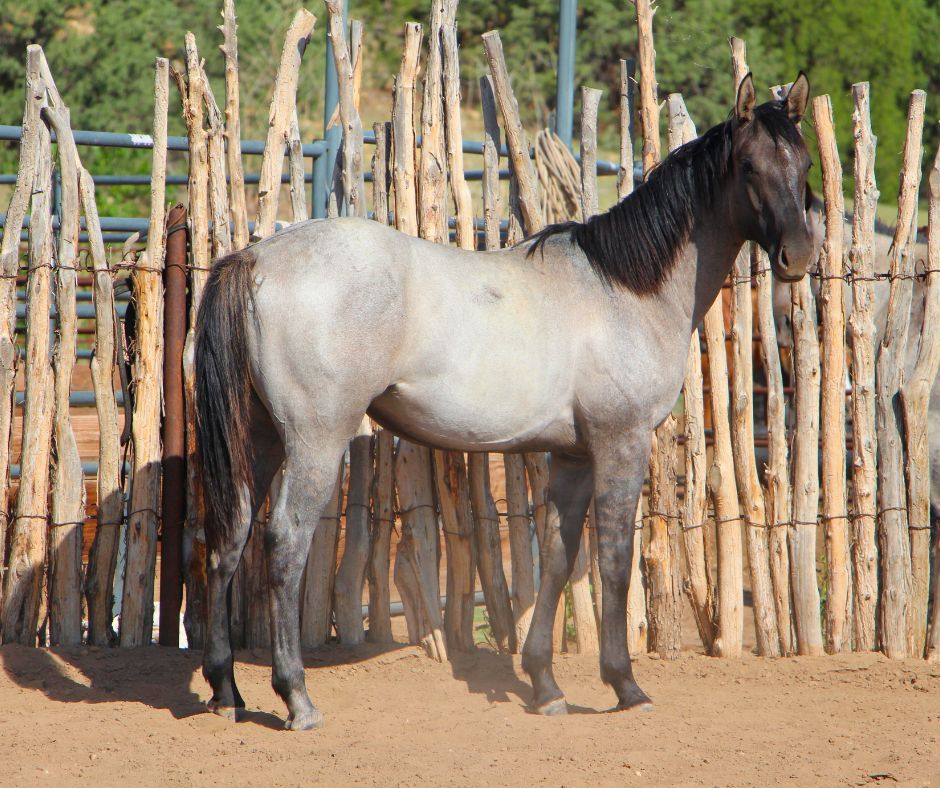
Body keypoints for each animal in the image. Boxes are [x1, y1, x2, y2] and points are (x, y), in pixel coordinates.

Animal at [194, 72, 814, 730]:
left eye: (803, 163)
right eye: (748, 165)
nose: (799, 256)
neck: (623, 287)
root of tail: (255, 259)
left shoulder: (574, 457)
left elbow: (559, 559)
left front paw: (545, 685)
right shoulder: (621, 445)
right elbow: (615, 560)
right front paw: (624, 684)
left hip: (259, 439)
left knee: (230, 536)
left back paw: (226, 691)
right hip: (315, 440)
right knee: (285, 541)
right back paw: (297, 698)